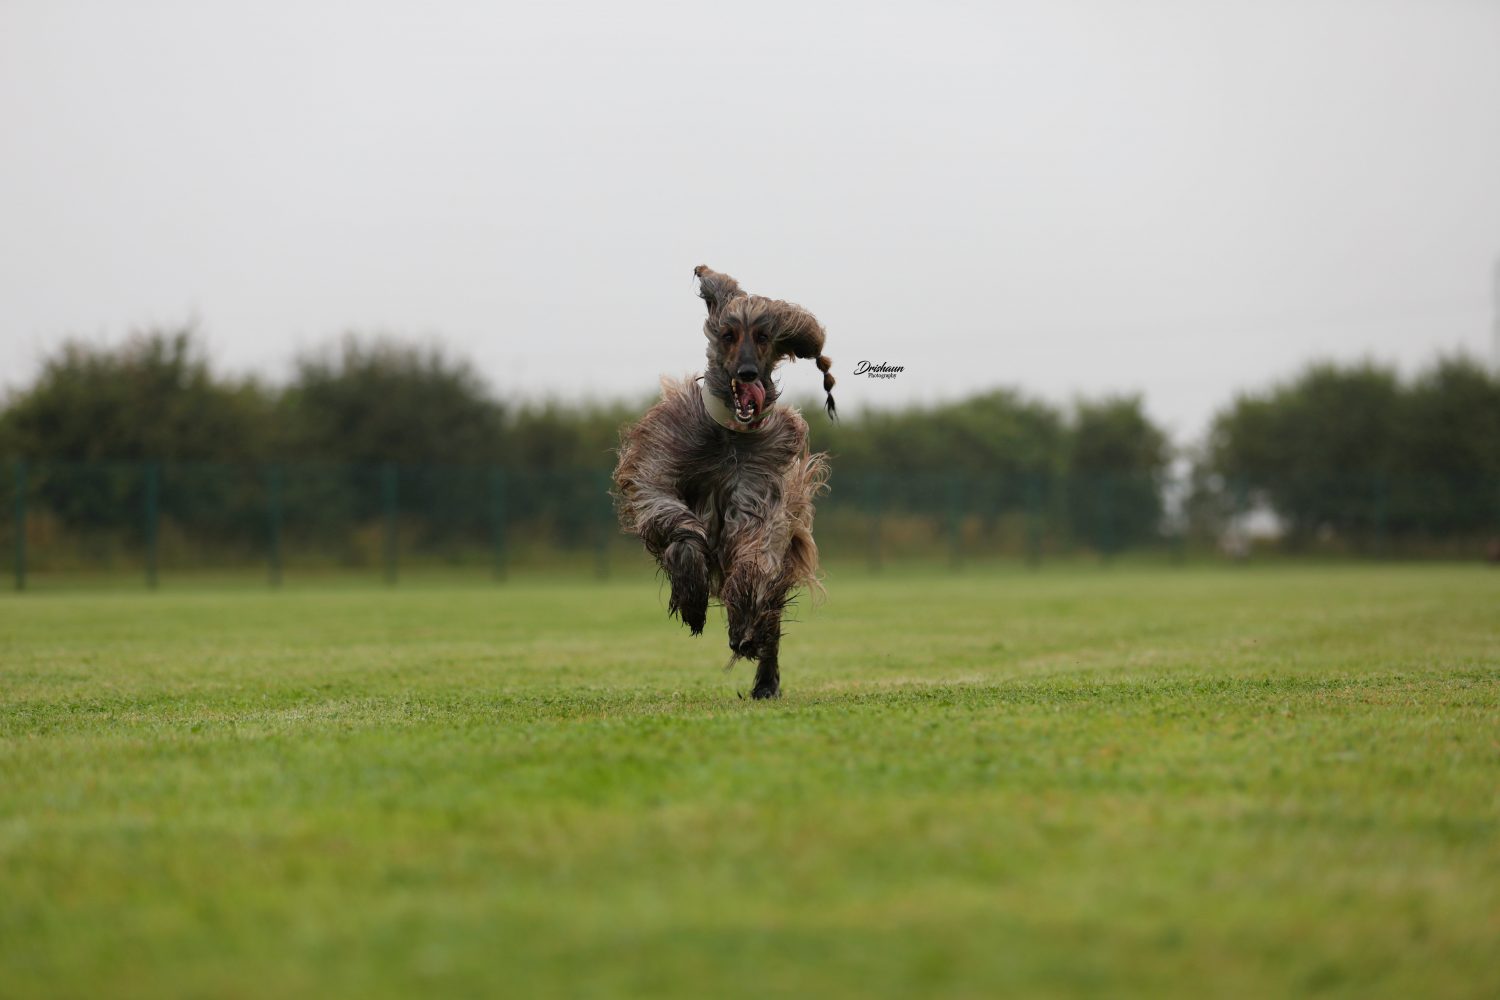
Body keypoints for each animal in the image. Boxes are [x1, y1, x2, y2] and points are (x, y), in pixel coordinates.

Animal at [611, 265, 836, 699]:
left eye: (763, 336)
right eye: (729, 334)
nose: (748, 374)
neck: (729, 435)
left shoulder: (757, 488)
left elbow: (752, 551)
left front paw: (743, 625)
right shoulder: (662, 461)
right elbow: (675, 521)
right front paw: (692, 596)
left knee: (773, 611)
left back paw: (765, 677)